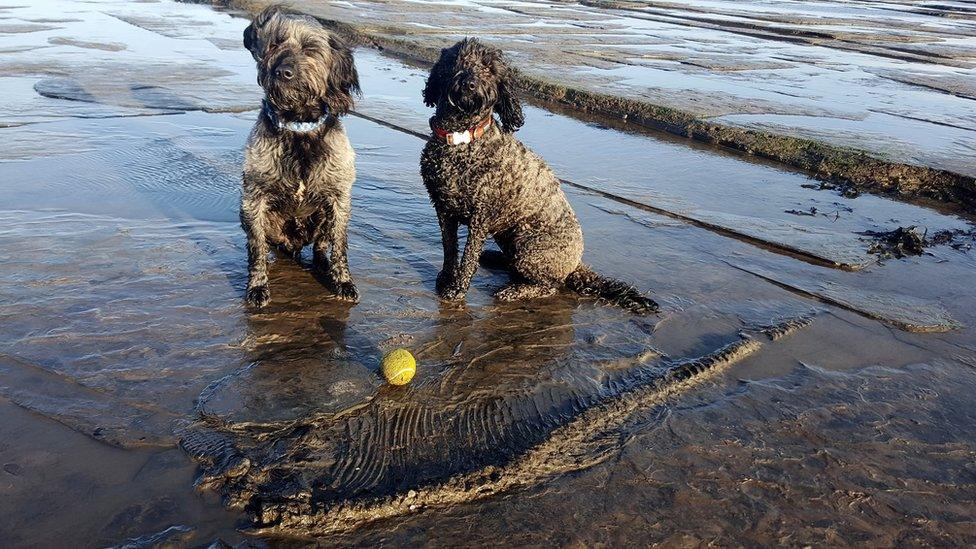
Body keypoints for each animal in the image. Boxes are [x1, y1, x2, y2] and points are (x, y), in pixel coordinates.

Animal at [240, 5, 362, 308]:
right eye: (274, 44)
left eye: (310, 48)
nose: (283, 71)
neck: (299, 128)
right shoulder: (253, 198)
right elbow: (255, 246)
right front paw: (257, 286)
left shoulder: (339, 200)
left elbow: (339, 246)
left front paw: (343, 281)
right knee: (265, 244)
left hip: (321, 218)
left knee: (321, 246)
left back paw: (322, 264)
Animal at [416, 38, 660, 312]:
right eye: (456, 61)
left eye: (489, 68)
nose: (469, 83)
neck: (462, 140)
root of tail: (576, 264)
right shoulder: (442, 207)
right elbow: (449, 248)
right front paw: (446, 277)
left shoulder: (481, 216)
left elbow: (468, 256)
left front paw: (457, 288)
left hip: (527, 243)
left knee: (550, 284)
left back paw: (514, 291)